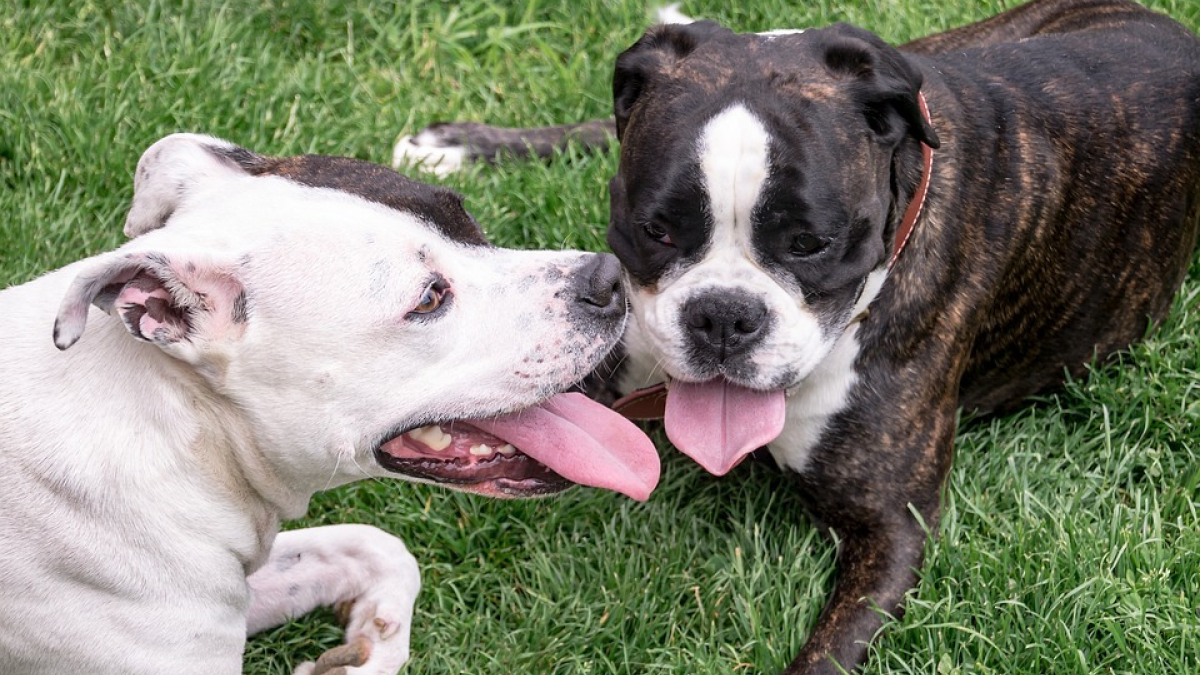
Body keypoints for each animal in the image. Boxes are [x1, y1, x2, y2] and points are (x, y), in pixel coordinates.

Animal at [0, 132, 657, 672]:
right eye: (428, 298)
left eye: (466, 218)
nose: (608, 278)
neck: (180, 425)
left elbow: (379, 546)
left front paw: (366, 647)